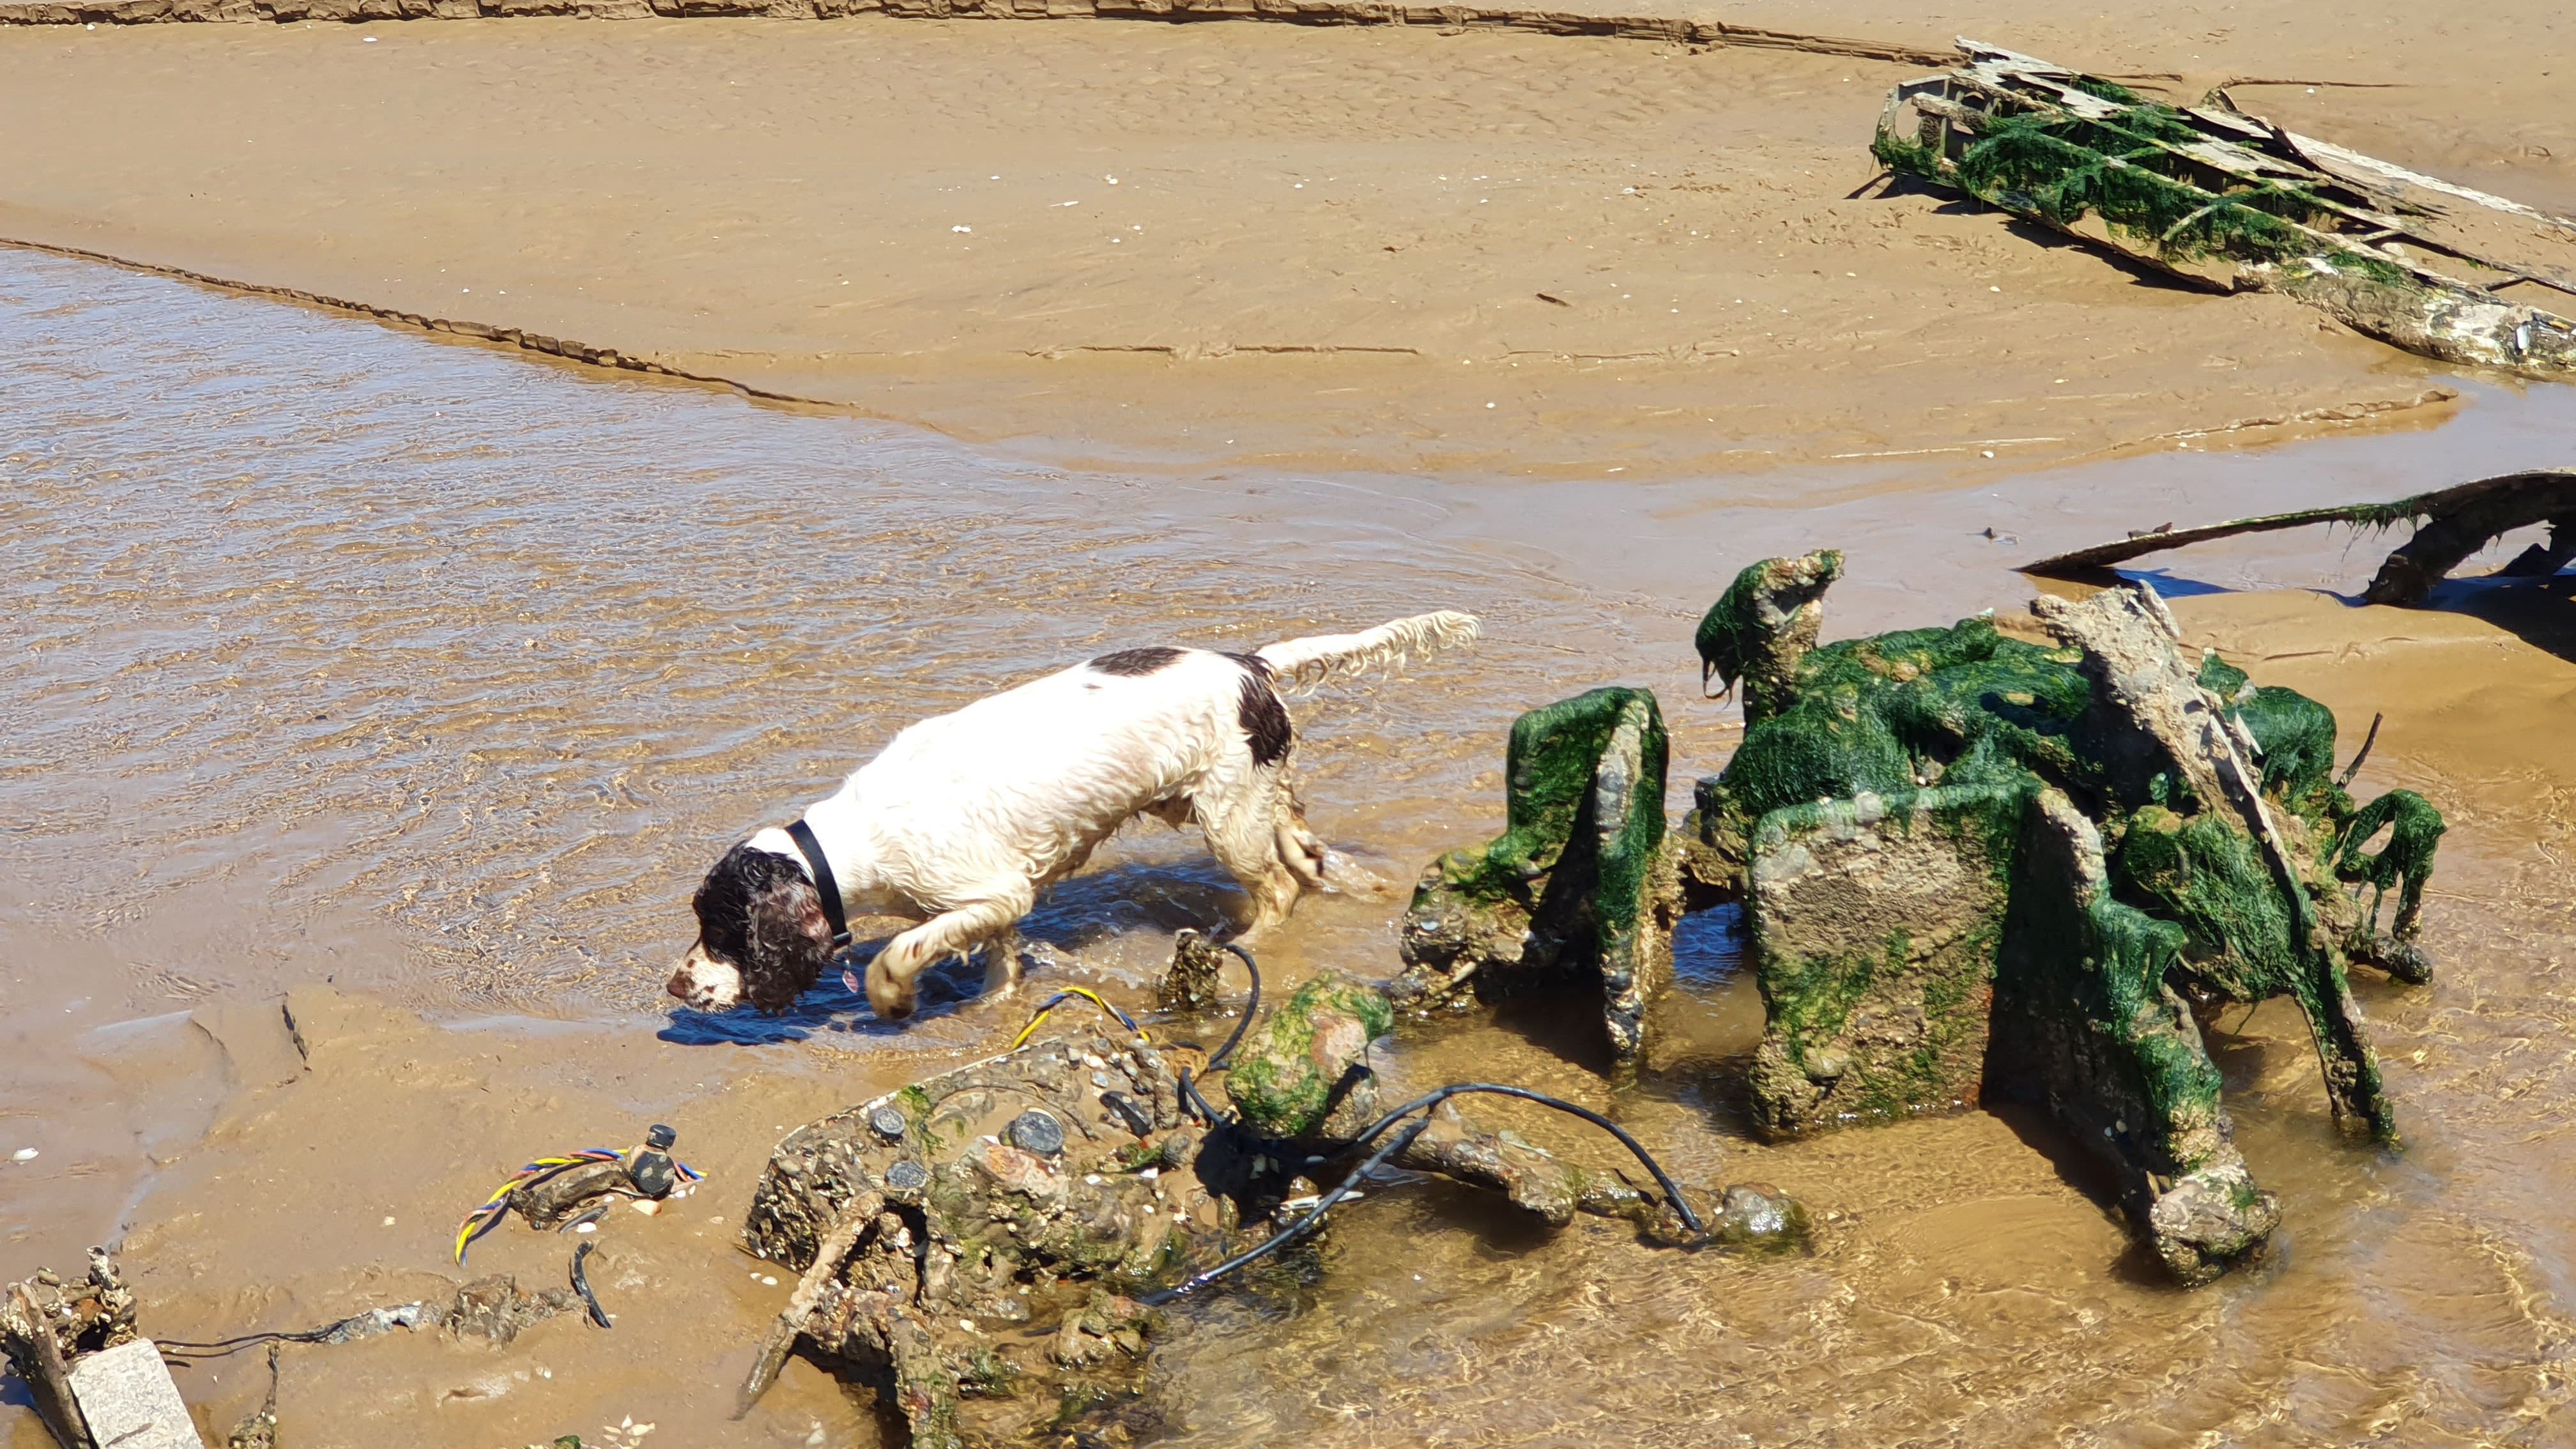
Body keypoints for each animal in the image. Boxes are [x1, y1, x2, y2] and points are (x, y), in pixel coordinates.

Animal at [670, 608, 1473, 1016]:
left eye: (721, 931)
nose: (674, 987)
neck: (852, 842)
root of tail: (1251, 664)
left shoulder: (994, 892)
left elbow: (904, 948)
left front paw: (893, 999)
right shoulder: (995, 906)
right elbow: (999, 960)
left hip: (1227, 816)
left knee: (1277, 889)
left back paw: (1244, 942)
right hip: (1251, 797)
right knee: (1306, 857)